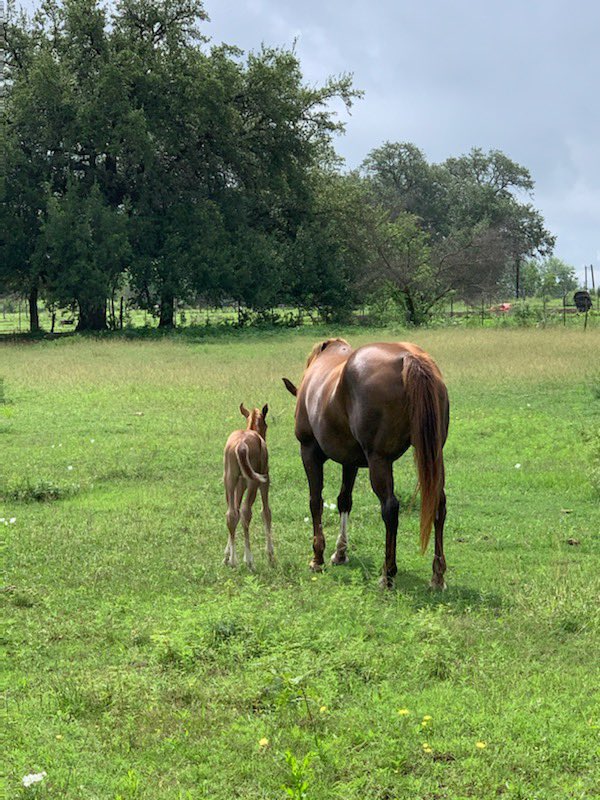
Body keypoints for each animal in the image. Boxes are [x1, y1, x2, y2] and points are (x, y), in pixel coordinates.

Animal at [223, 403, 274, 569]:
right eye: (266, 424)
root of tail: (241, 445)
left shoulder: (240, 484)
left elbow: (236, 511)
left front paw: (226, 555)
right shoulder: (265, 480)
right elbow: (266, 512)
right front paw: (270, 555)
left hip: (229, 478)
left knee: (231, 513)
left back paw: (233, 560)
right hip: (254, 482)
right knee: (246, 512)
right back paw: (249, 560)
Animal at [283, 339, 449, 588]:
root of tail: (408, 358)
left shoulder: (309, 451)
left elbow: (315, 502)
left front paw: (317, 557)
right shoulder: (349, 461)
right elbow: (344, 500)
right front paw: (340, 553)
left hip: (379, 460)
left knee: (390, 508)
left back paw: (388, 574)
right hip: (433, 455)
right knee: (438, 504)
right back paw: (437, 576)